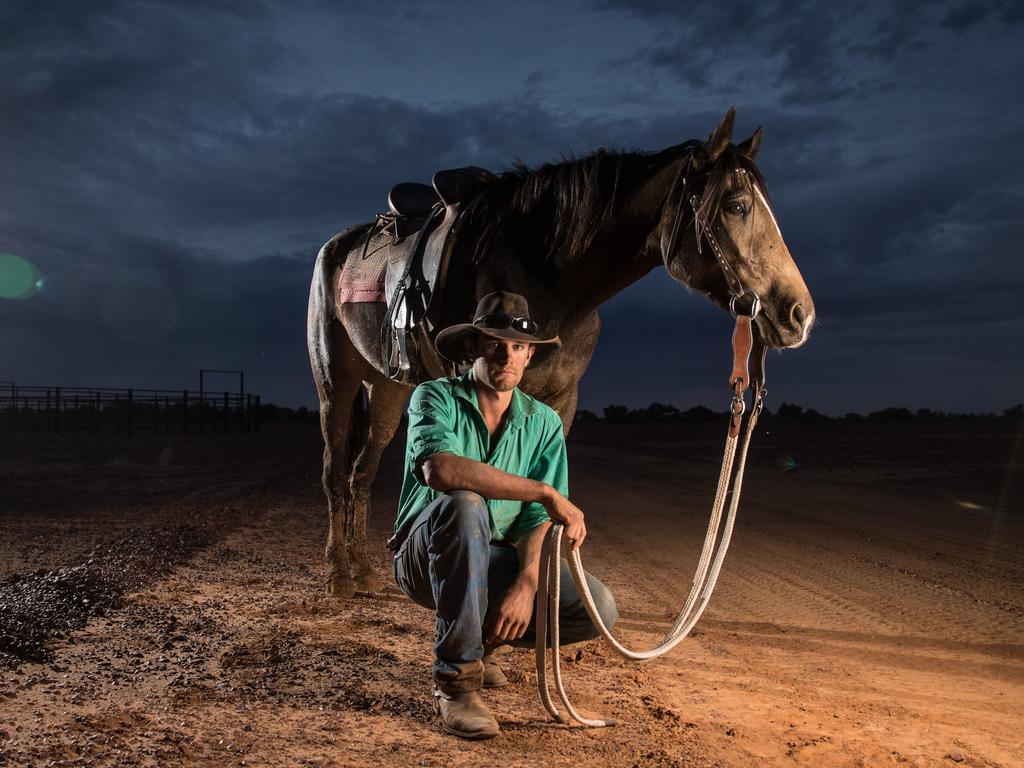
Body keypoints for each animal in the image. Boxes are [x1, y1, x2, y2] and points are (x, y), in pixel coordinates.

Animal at [303, 109, 815, 602]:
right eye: (736, 205)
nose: (801, 315)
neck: (545, 274)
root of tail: (337, 246)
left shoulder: (562, 400)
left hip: (387, 388)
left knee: (361, 474)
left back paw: (363, 570)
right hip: (335, 384)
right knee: (334, 473)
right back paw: (339, 575)